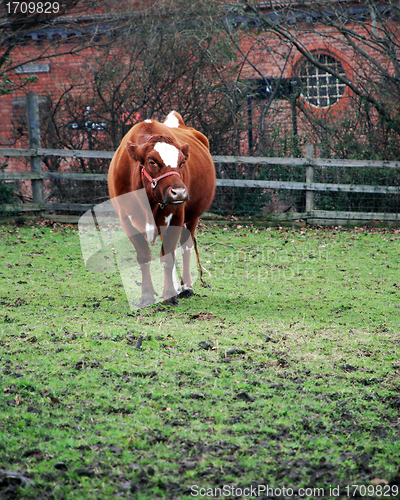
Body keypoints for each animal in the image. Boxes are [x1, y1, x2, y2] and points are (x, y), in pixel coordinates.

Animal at [107, 111, 216, 306]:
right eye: (152, 162)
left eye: (182, 162)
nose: (179, 192)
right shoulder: (127, 220)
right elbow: (144, 257)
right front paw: (147, 295)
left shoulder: (177, 217)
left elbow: (168, 257)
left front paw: (170, 294)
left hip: (191, 218)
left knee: (185, 248)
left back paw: (185, 287)